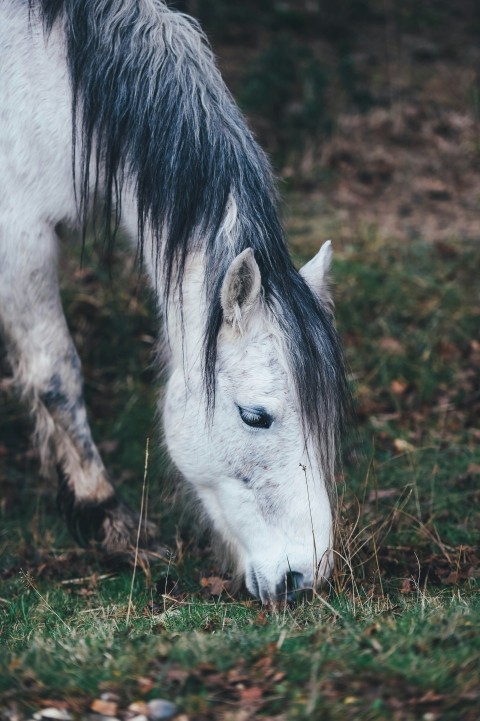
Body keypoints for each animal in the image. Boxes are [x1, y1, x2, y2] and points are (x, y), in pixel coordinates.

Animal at [0, 0, 349, 602]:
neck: (51, 76)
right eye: (255, 416)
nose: (305, 577)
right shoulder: (19, 234)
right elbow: (56, 375)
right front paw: (107, 517)